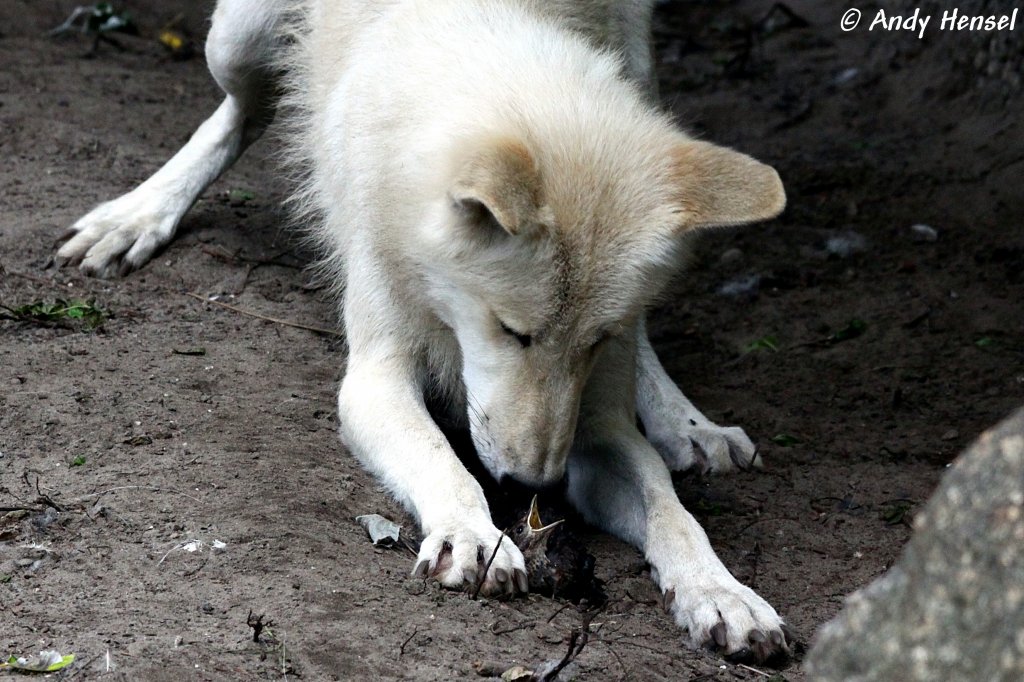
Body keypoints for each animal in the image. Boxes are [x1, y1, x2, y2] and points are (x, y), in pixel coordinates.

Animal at [56, 0, 790, 659]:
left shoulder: (600, 425)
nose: (531, 486)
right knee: (247, 107)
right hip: (236, 40)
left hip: (641, 73)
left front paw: (723, 593)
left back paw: (690, 426)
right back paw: (138, 215)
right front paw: (472, 534)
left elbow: (672, 511)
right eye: (512, 331)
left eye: (594, 342)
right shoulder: (374, 379)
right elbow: (443, 461)